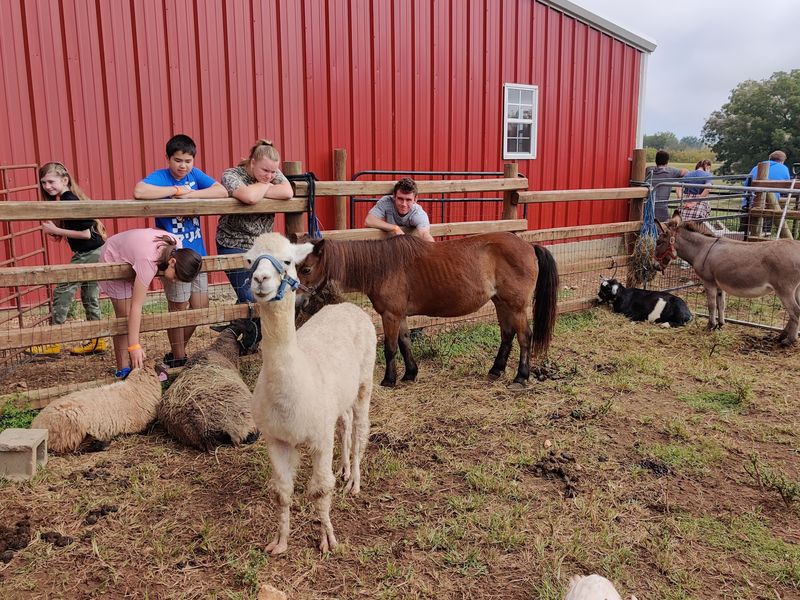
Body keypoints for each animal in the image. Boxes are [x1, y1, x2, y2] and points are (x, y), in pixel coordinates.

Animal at [30, 359, 164, 453]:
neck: (138, 386)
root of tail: (36, 425)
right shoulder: (140, 425)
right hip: (71, 429)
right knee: (73, 448)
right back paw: (100, 444)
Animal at [245, 232, 376, 555]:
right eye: (250, 260)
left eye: (288, 260)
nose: (261, 279)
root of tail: (346, 305)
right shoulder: (276, 438)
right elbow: (281, 492)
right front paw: (279, 542)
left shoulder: (319, 437)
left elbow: (321, 489)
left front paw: (328, 539)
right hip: (339, 396)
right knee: (344, 424)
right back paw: (344, 469)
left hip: (365, 380)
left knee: (360, 429)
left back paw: (354, 482)